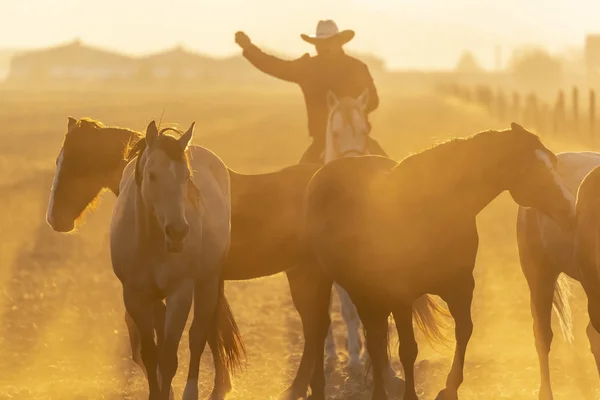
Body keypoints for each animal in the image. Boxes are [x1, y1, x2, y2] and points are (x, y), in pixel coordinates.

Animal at [304, 123, 576, 398]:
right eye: (529, 167)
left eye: (552, 161)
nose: (569, 211)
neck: (434, 209)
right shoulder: (401, 297)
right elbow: (408, 349)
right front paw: (412, 395)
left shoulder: (460, 286)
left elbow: (464, 331)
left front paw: (449, 388)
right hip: (334, 284)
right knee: (344, 333)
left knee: (376, 340)